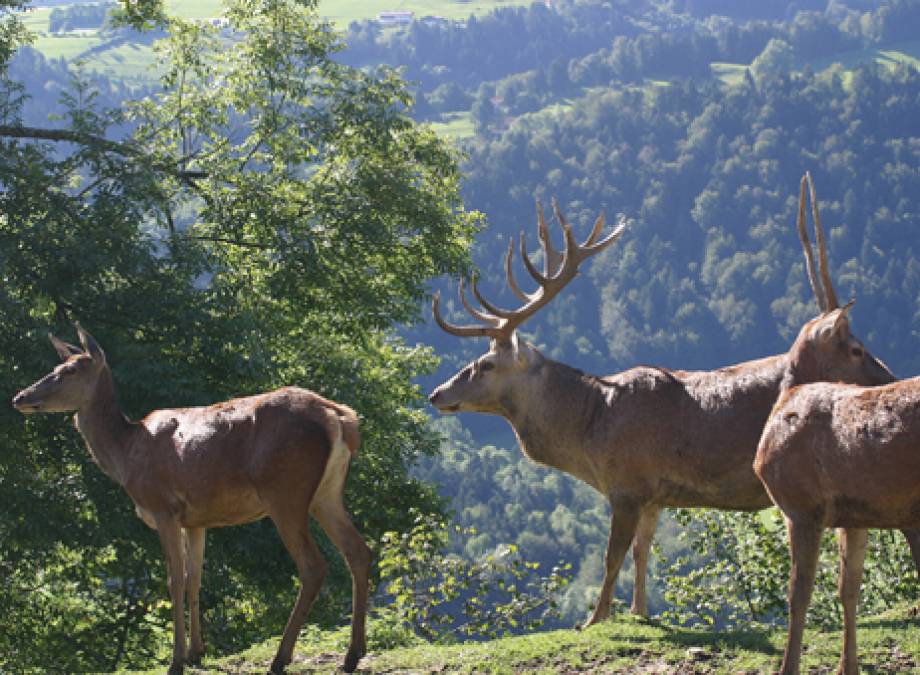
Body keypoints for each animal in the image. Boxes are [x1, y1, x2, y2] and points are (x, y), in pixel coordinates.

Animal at [11, 324, 370, 672]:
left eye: (69, 370)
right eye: (55, 367)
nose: (20, 396)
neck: (126, 454)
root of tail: (340, 418)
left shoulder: (163, 508)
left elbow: (173, 581)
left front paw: (176, 660)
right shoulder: (196, 520)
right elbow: (194, 579)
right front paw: (197, 652)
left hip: (285, 491)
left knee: (313, 565)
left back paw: (281, 658)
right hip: (327, 493)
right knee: (358, 550)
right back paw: (352, 655)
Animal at [432, 184, 920, 628]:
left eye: (486, 364)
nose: (437, 393)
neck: (589, 430)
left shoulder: (627, 483)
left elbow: (612, 557)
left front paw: (595, 618)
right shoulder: (654, 493)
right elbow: (642, 552)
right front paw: (640, 612)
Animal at [756, 177, 920, 672]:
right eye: (856, 348)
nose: (890, 376)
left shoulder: (800, 504)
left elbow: (799, 597)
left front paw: (788, 667)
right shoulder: (856, 512)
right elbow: (849, 591)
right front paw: (850, 665)